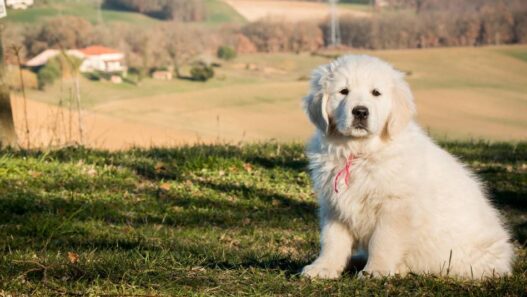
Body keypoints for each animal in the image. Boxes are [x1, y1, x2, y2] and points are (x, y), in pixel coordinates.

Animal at [304, 55, 512, 278]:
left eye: (376, 92)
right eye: (343, 91)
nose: (360, 111)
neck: (360, 152)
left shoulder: (395, 205)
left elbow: (383, 240)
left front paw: (376, 270)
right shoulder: (334, 205)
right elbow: (332, 240)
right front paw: (323, 267)